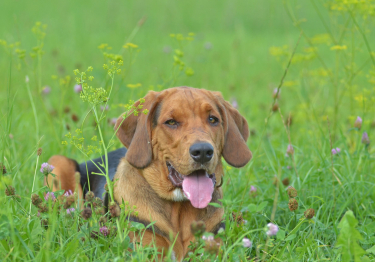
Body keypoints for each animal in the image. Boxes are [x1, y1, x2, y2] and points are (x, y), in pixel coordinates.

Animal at [47, 86, 253, 260]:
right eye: (171, 122)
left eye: (212, 119)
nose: (203, 151)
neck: (178, 208)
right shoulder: (146, 250)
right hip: (59, 163)